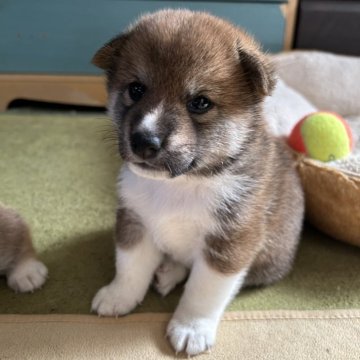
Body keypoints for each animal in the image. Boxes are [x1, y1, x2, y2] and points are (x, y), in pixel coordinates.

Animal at [90, 9, 304, 356]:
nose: (144, 141)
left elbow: (203, 291)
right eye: (136, 89)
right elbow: (130, 266)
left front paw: (191, 328)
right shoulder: (134, 220)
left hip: (267, 263)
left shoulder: (230, 244)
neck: (181, 185)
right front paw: (119, 295)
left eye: (200, 103)